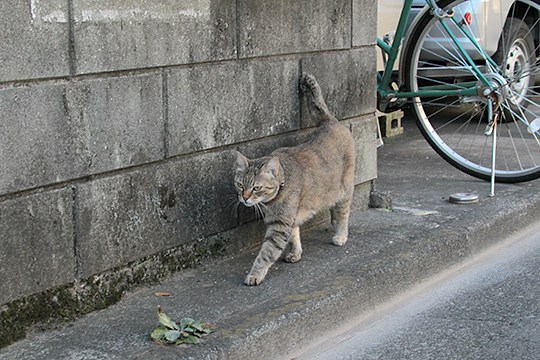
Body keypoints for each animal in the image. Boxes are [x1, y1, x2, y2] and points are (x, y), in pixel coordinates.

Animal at [233, 74, 354, 286]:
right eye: (240, 185)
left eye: (256, 188)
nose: (245, 198)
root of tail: (330, 121)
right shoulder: (289, 219)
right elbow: (294, 234)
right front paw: (296, 253)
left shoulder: (279, 226)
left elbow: (266, 254)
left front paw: (255, 274)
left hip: (345, 191)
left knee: (343, 214)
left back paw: (340, 235)